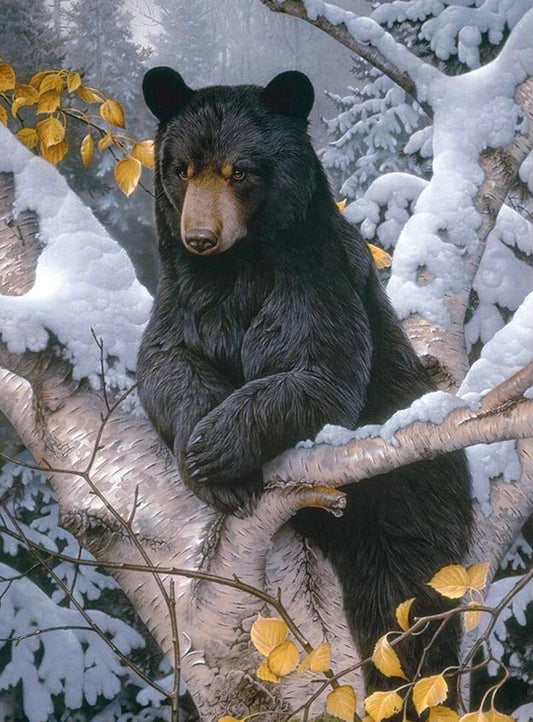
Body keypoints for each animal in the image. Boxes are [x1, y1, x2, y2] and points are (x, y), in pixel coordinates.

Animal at [137, 66, 470, 704]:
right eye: (182, 169)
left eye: (239, 170)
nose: (199, 236)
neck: (235, 267)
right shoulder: (185, 293)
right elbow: (166, 363)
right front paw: (207, 459)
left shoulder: (312, 274)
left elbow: (320, 371)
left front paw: (218, 446)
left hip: (410, 497)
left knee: (405, 606)